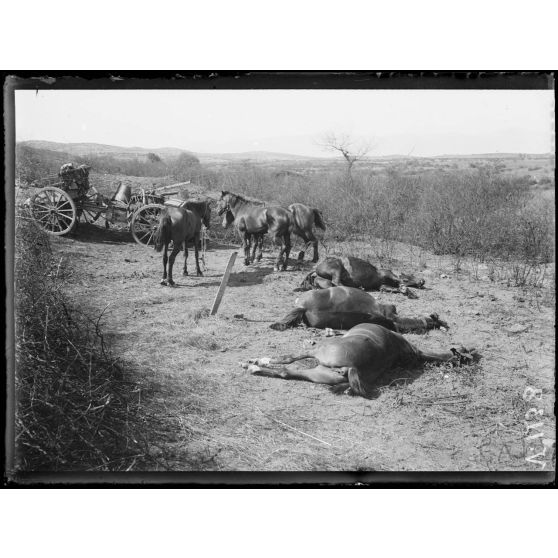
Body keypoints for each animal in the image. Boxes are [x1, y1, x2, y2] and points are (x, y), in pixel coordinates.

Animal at [241, 324, 482, 398]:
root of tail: (353, 367)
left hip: (319, 354)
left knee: (287, 360)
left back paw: (255, 362)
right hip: (317, 373)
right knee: (286, 372)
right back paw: (254, 368)